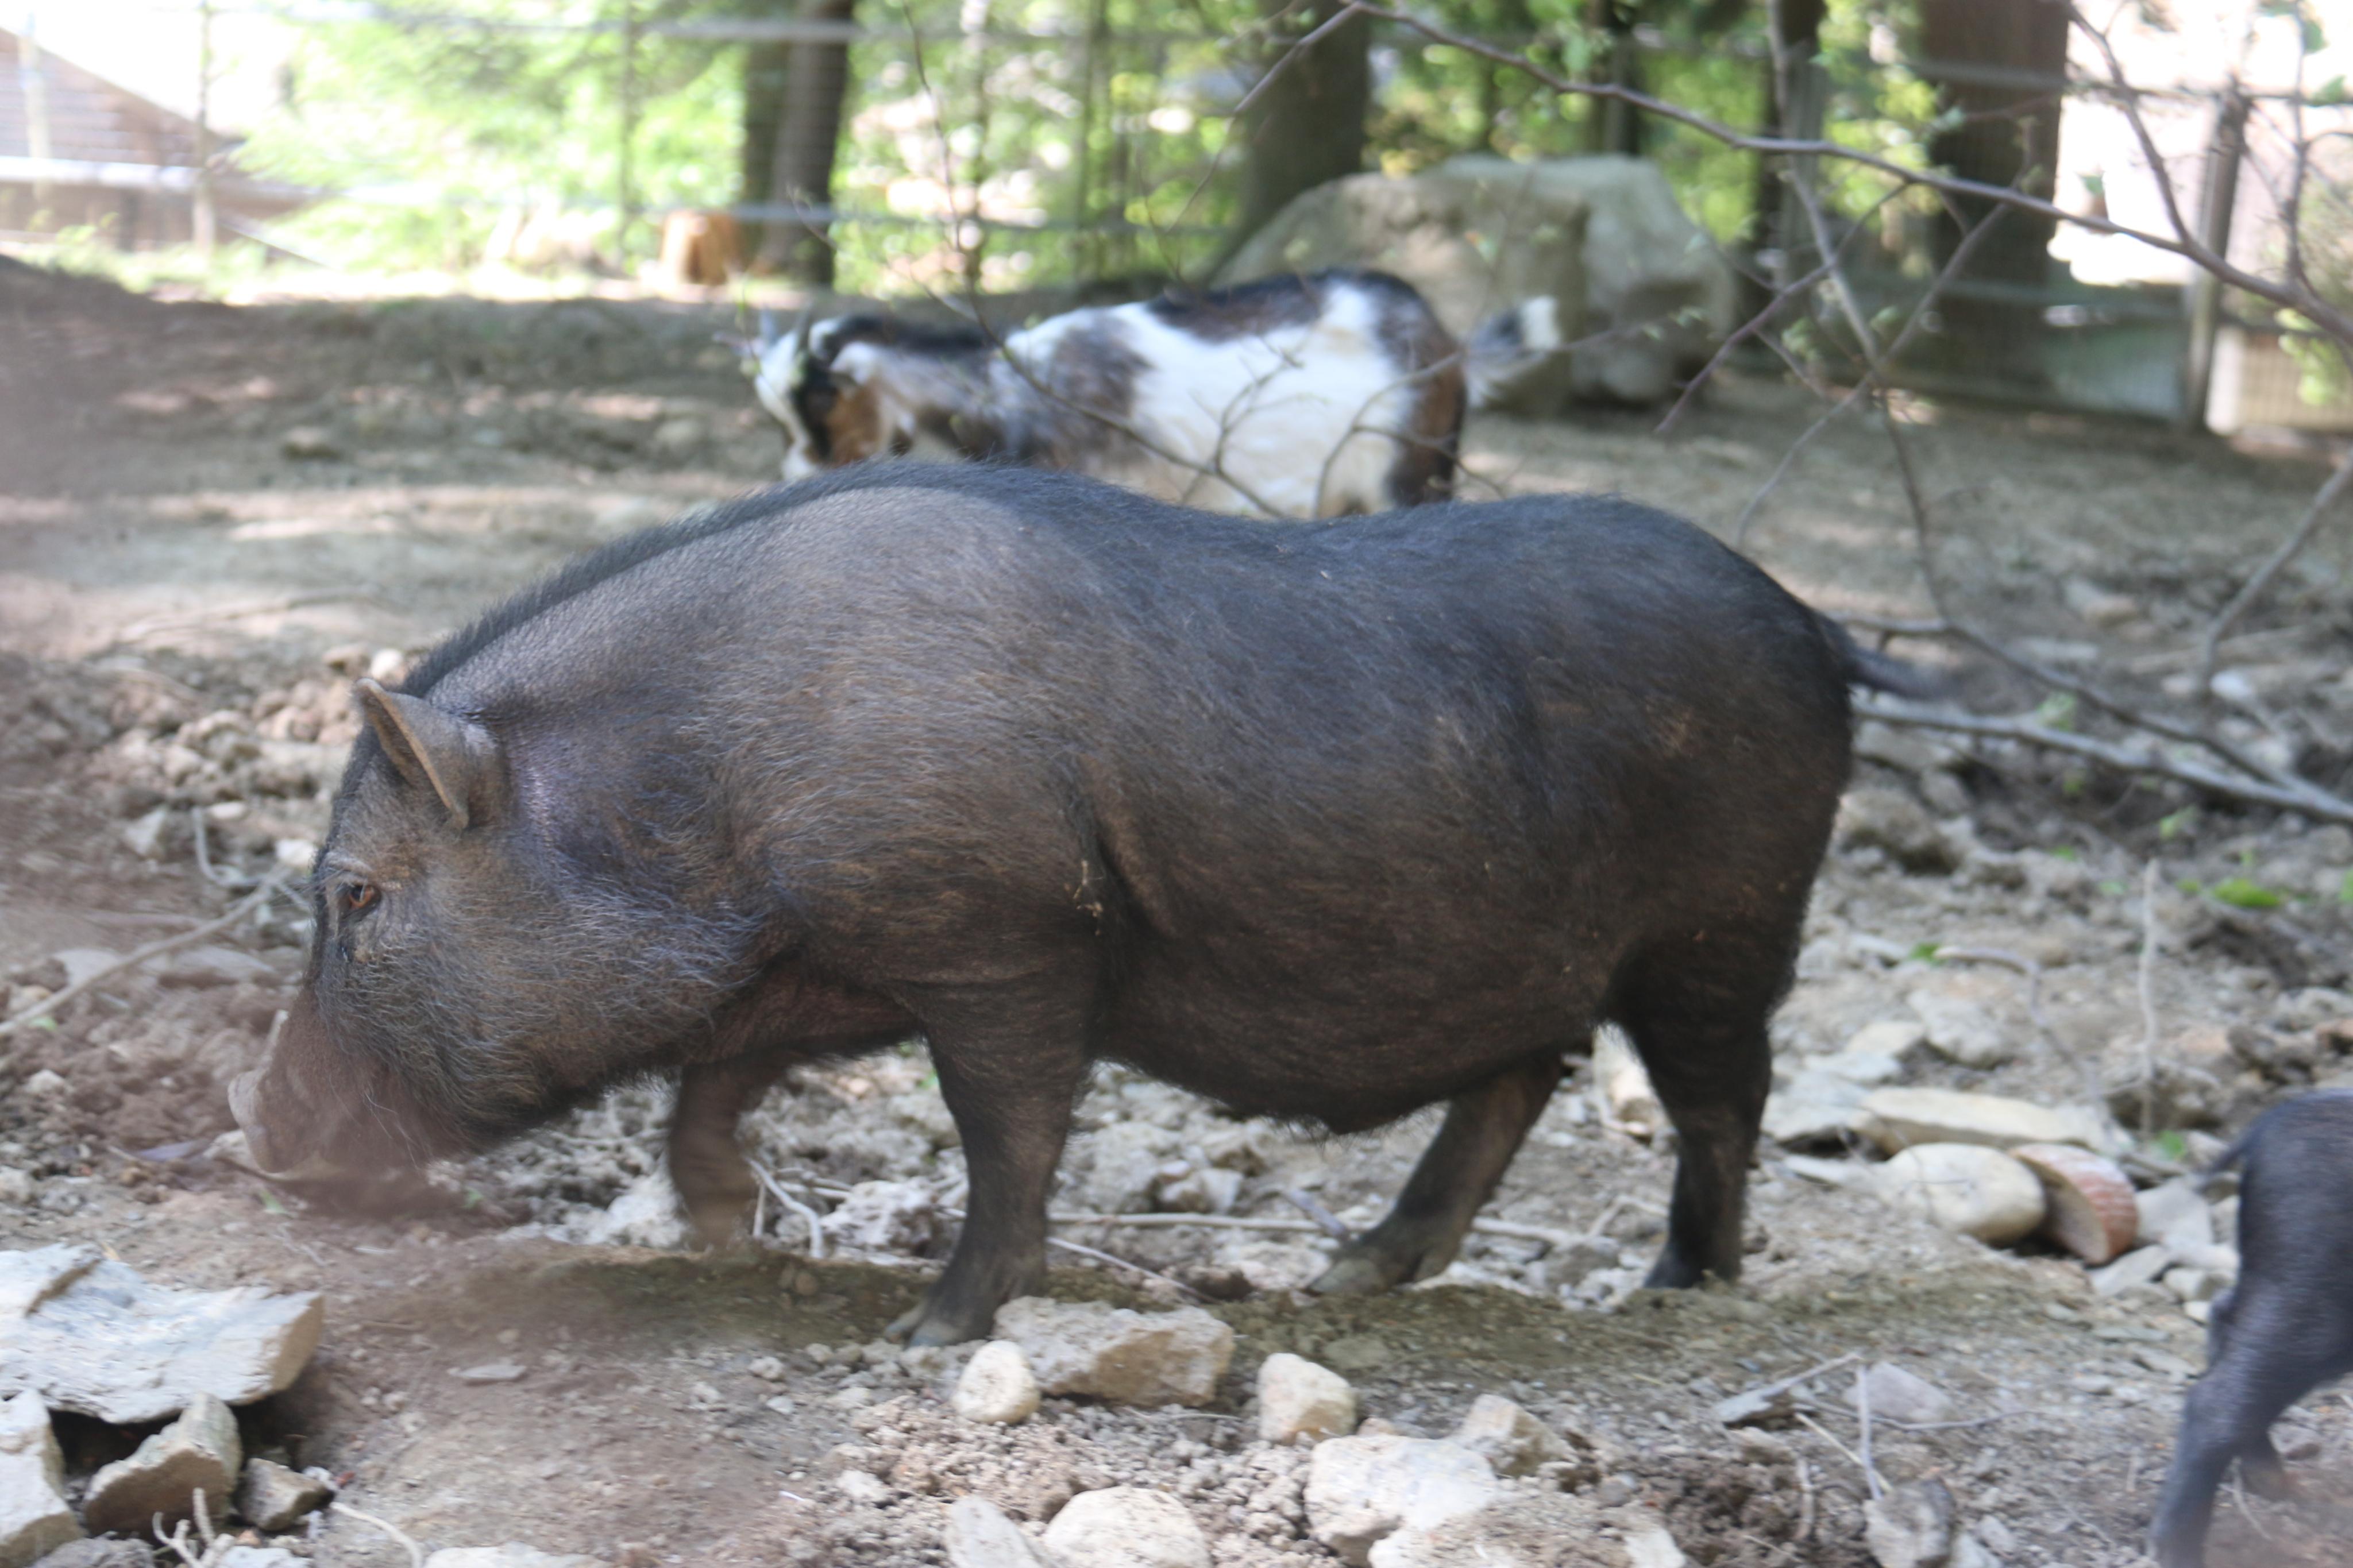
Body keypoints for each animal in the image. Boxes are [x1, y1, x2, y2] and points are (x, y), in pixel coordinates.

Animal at [232, 464, 1913, 1346]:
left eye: (353, 895)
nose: (251, 1131)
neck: (701, 785)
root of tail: (1815, 624)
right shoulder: (840, 955)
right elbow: (717, 1074)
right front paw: (714, 1229)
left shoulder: (1006, 932)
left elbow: (1010, 1128)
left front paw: (933, 1328)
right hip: (1546, 953)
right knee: (1523, 1074)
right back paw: (1355, 1271)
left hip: (1725, 927)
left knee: (1719, 1099)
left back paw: (1674, 1288)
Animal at [2152, 1089, 2353, 1567]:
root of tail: (2269, 1126)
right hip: (2317, 1297)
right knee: (2216, 1401)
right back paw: (2182, 1553)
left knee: (2224, 1316)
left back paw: (2277, 1485)